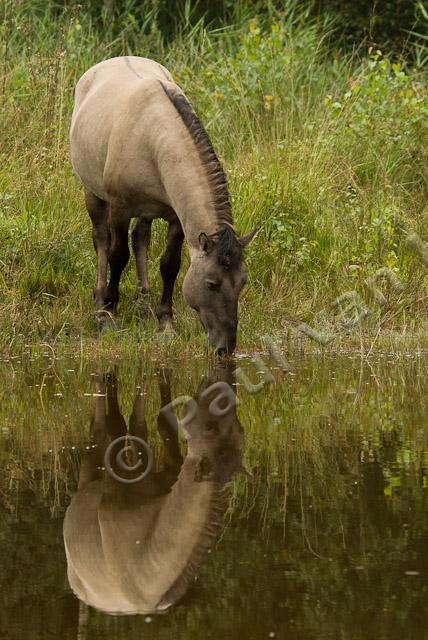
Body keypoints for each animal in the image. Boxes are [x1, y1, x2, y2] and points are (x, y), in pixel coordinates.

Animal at [61, 362, 246, 612]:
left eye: (240, 430)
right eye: (210, 427)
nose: (223, 380)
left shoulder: (170, 473)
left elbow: (162, 421)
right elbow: (137, 423)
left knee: (114, 412)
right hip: (89, 472)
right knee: (100, 428)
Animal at [70, 56, 256, 356]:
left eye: (243, 282)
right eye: (211, 284)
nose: (225, 347)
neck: (153, 139)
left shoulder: (175, 217)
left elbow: (170, 264)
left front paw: (165, 323)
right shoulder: (120, 209)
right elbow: (117, 256)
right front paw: (110, 313)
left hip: (147, 211)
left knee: (141, 238)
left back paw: (144, 300)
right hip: (93, 193)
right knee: (101, 240)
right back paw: (100, 302)